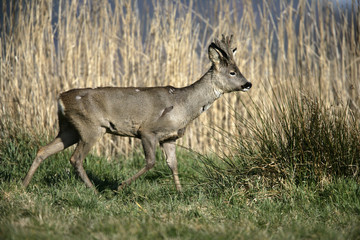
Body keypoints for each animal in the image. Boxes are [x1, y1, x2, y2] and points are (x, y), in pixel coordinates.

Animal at [23, 35, 253, 193]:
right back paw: (95, 191)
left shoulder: (170, 138)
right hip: (91, 127)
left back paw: (24, 184)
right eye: (232, 72)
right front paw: (120, 186)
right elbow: (151, 162)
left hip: (69, 128)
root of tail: (60, 98)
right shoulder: (148, 130)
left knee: (44, 150)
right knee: (75, 158)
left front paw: (180, 192)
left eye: (239, 69)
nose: (248, 84)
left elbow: (173, 164)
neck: (184, 106)